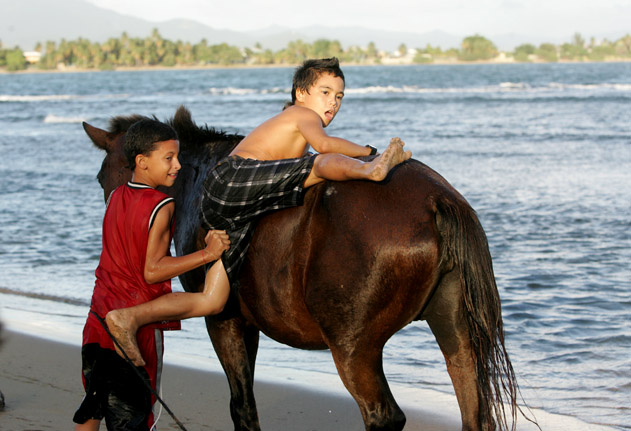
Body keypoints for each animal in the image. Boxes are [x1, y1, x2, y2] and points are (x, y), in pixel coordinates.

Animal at [86, 105, 524, 431]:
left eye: (102, 175)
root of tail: (437, 199)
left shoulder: (225, 320)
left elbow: (242, 406)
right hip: (456, 332)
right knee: (473, 412)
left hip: (354, 349)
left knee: (383, 416)